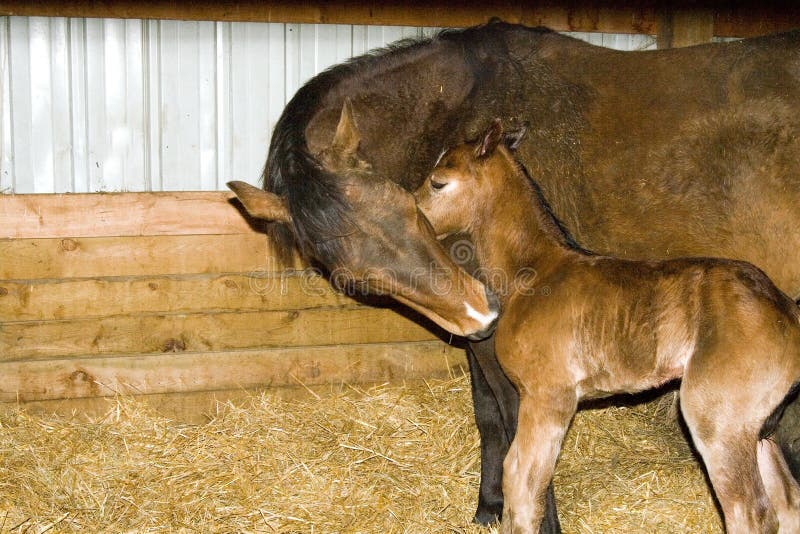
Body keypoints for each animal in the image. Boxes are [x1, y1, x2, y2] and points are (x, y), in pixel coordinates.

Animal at [416, 119, 800, 532]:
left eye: (438, 182)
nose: (414, 216)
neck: (535, 274)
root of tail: (785, 311)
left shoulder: (547, 397)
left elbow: (522, 486)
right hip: (757, 430)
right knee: (788, 501)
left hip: (718, 421)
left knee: (750, 511)